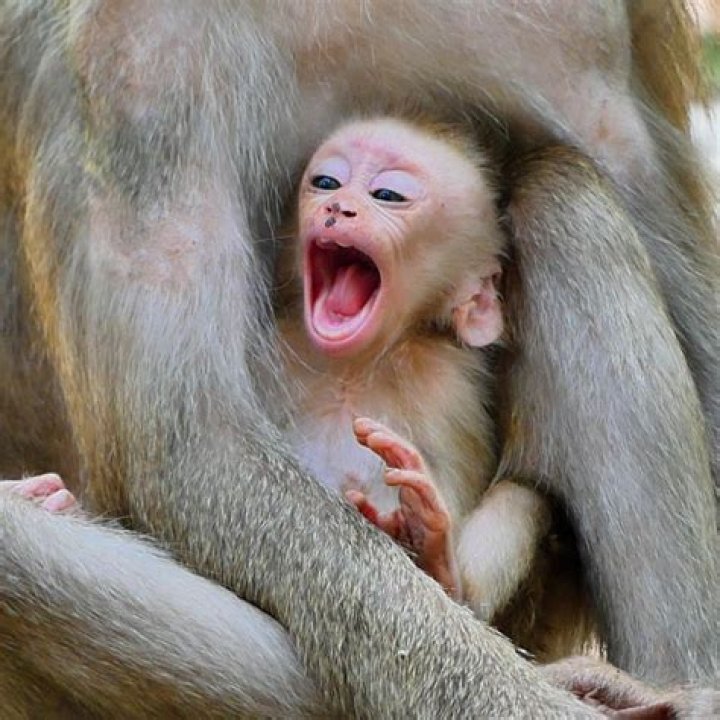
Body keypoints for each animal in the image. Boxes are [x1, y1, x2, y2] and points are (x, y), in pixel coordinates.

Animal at [277, 116, 591, 656]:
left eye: (388, 194)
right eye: (327, 182)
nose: (338, 207)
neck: (354, 366)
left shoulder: (447, 384)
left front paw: (425, 524)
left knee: (523, 499)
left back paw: (438, 561)